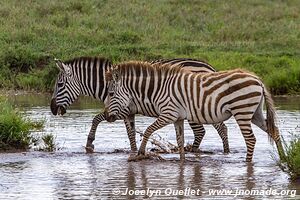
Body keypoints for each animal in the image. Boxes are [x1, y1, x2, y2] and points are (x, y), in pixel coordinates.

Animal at [51, 56, 230, 153]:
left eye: (59, 85)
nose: (52, 109)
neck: (108, 85)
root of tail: (209, 68)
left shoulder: (121, 110)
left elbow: (98, 119)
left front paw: (89, 143)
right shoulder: (126, 111)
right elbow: (129, 132)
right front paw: (134, 151)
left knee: (202, 131)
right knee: (221, 127)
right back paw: (226, 151)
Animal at [105, 60, 284, 161]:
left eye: (111, 94)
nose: (107, 116)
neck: (158, 89)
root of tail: (258, 79)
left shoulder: (168, 114)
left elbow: (149, 130)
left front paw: (141, 153)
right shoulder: (178, 118)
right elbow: (180, 141)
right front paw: (183, 163)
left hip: (242, 111)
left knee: (251, 139)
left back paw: (247, 164)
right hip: (255, 113)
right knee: (274, 131)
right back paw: (283, 158)